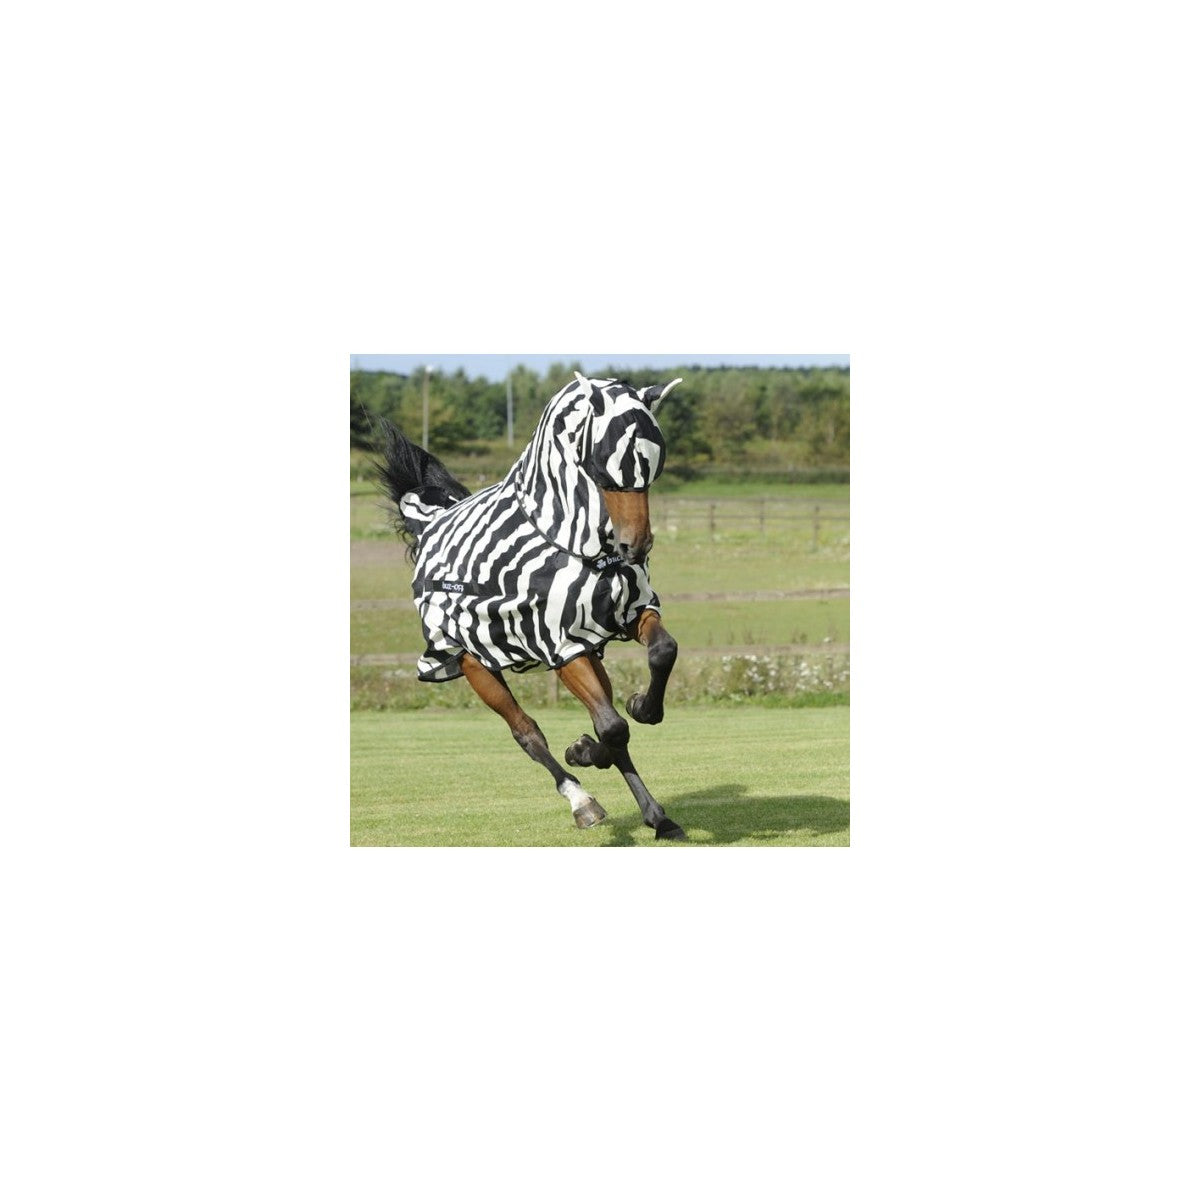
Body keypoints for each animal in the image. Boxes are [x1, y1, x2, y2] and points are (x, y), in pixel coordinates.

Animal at [375, 371, 687, 840]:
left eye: (654, 464)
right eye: (604, 463)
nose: (636, 546)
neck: (570, 544)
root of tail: (429, 524)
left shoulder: (624, 615)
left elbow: (661, 655)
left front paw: (638, 710)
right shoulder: (561, 646)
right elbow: (612, 728)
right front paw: (588, 754)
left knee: (601, 718)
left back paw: (648, 808)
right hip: (474, 666)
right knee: (528, 733)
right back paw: (582, 801)